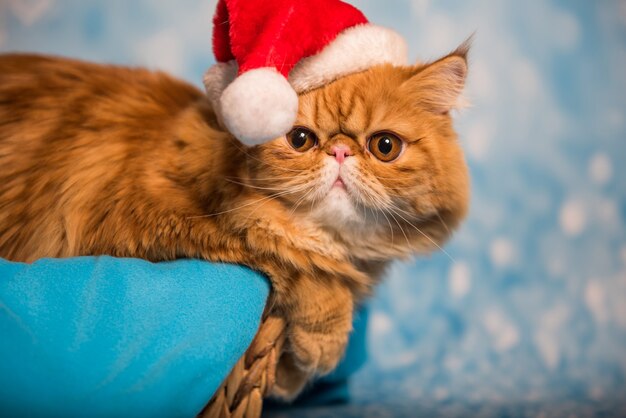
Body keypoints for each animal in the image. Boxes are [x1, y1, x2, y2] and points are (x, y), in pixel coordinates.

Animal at [0, 45, 468, 398]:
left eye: (385, 146)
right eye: (300, 139)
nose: (339, 151)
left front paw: (289, 373)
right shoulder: (153, 222)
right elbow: (297, 261)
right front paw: (323, 340)